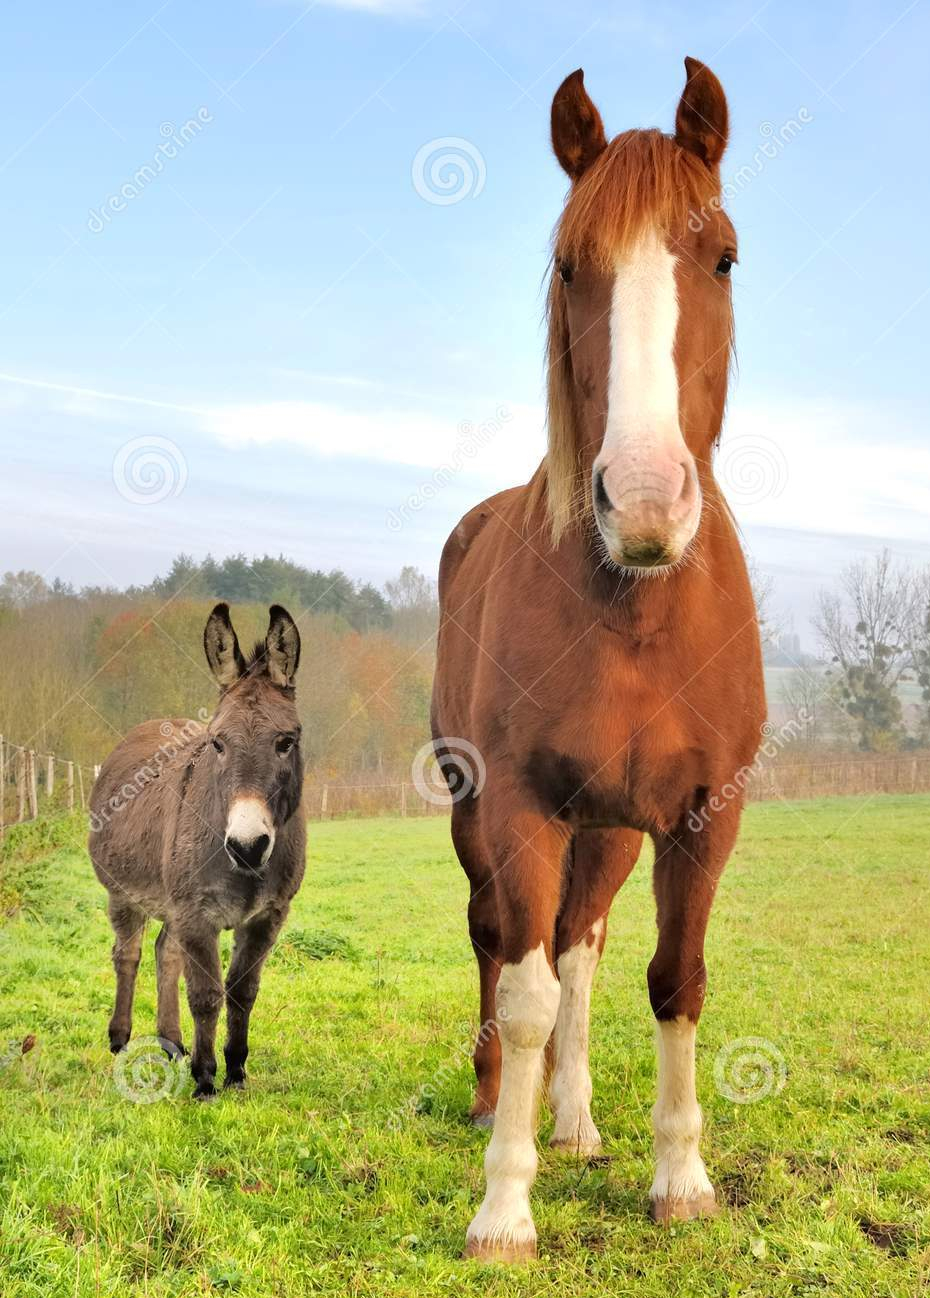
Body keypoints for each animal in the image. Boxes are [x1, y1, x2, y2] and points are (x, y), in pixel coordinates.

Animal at [89, 603, 306, 1099]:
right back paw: (121, 1039)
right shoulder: (195, 913)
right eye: (218, 743)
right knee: (127, 955)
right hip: (124, 894)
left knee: (165, 952)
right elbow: (206, 996)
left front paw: (236, 1071)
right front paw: (205, 1080)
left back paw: (170, 1042)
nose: (247, 846)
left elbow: (242, 992)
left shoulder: (268, 916)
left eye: (287, 741)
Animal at [431, 57, 765, 1261]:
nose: (649, 502)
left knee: (581, 945)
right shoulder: (522, 807)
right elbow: (525, 992)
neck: (637, 610)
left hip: (613, 831)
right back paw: (501, 1097)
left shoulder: (703, 815)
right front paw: (502, 1204)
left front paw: (681, 1176)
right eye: (573, 265)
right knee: (503, 944)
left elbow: (675, 981)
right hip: (480, 817)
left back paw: (573, 1119)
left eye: (722, 256)